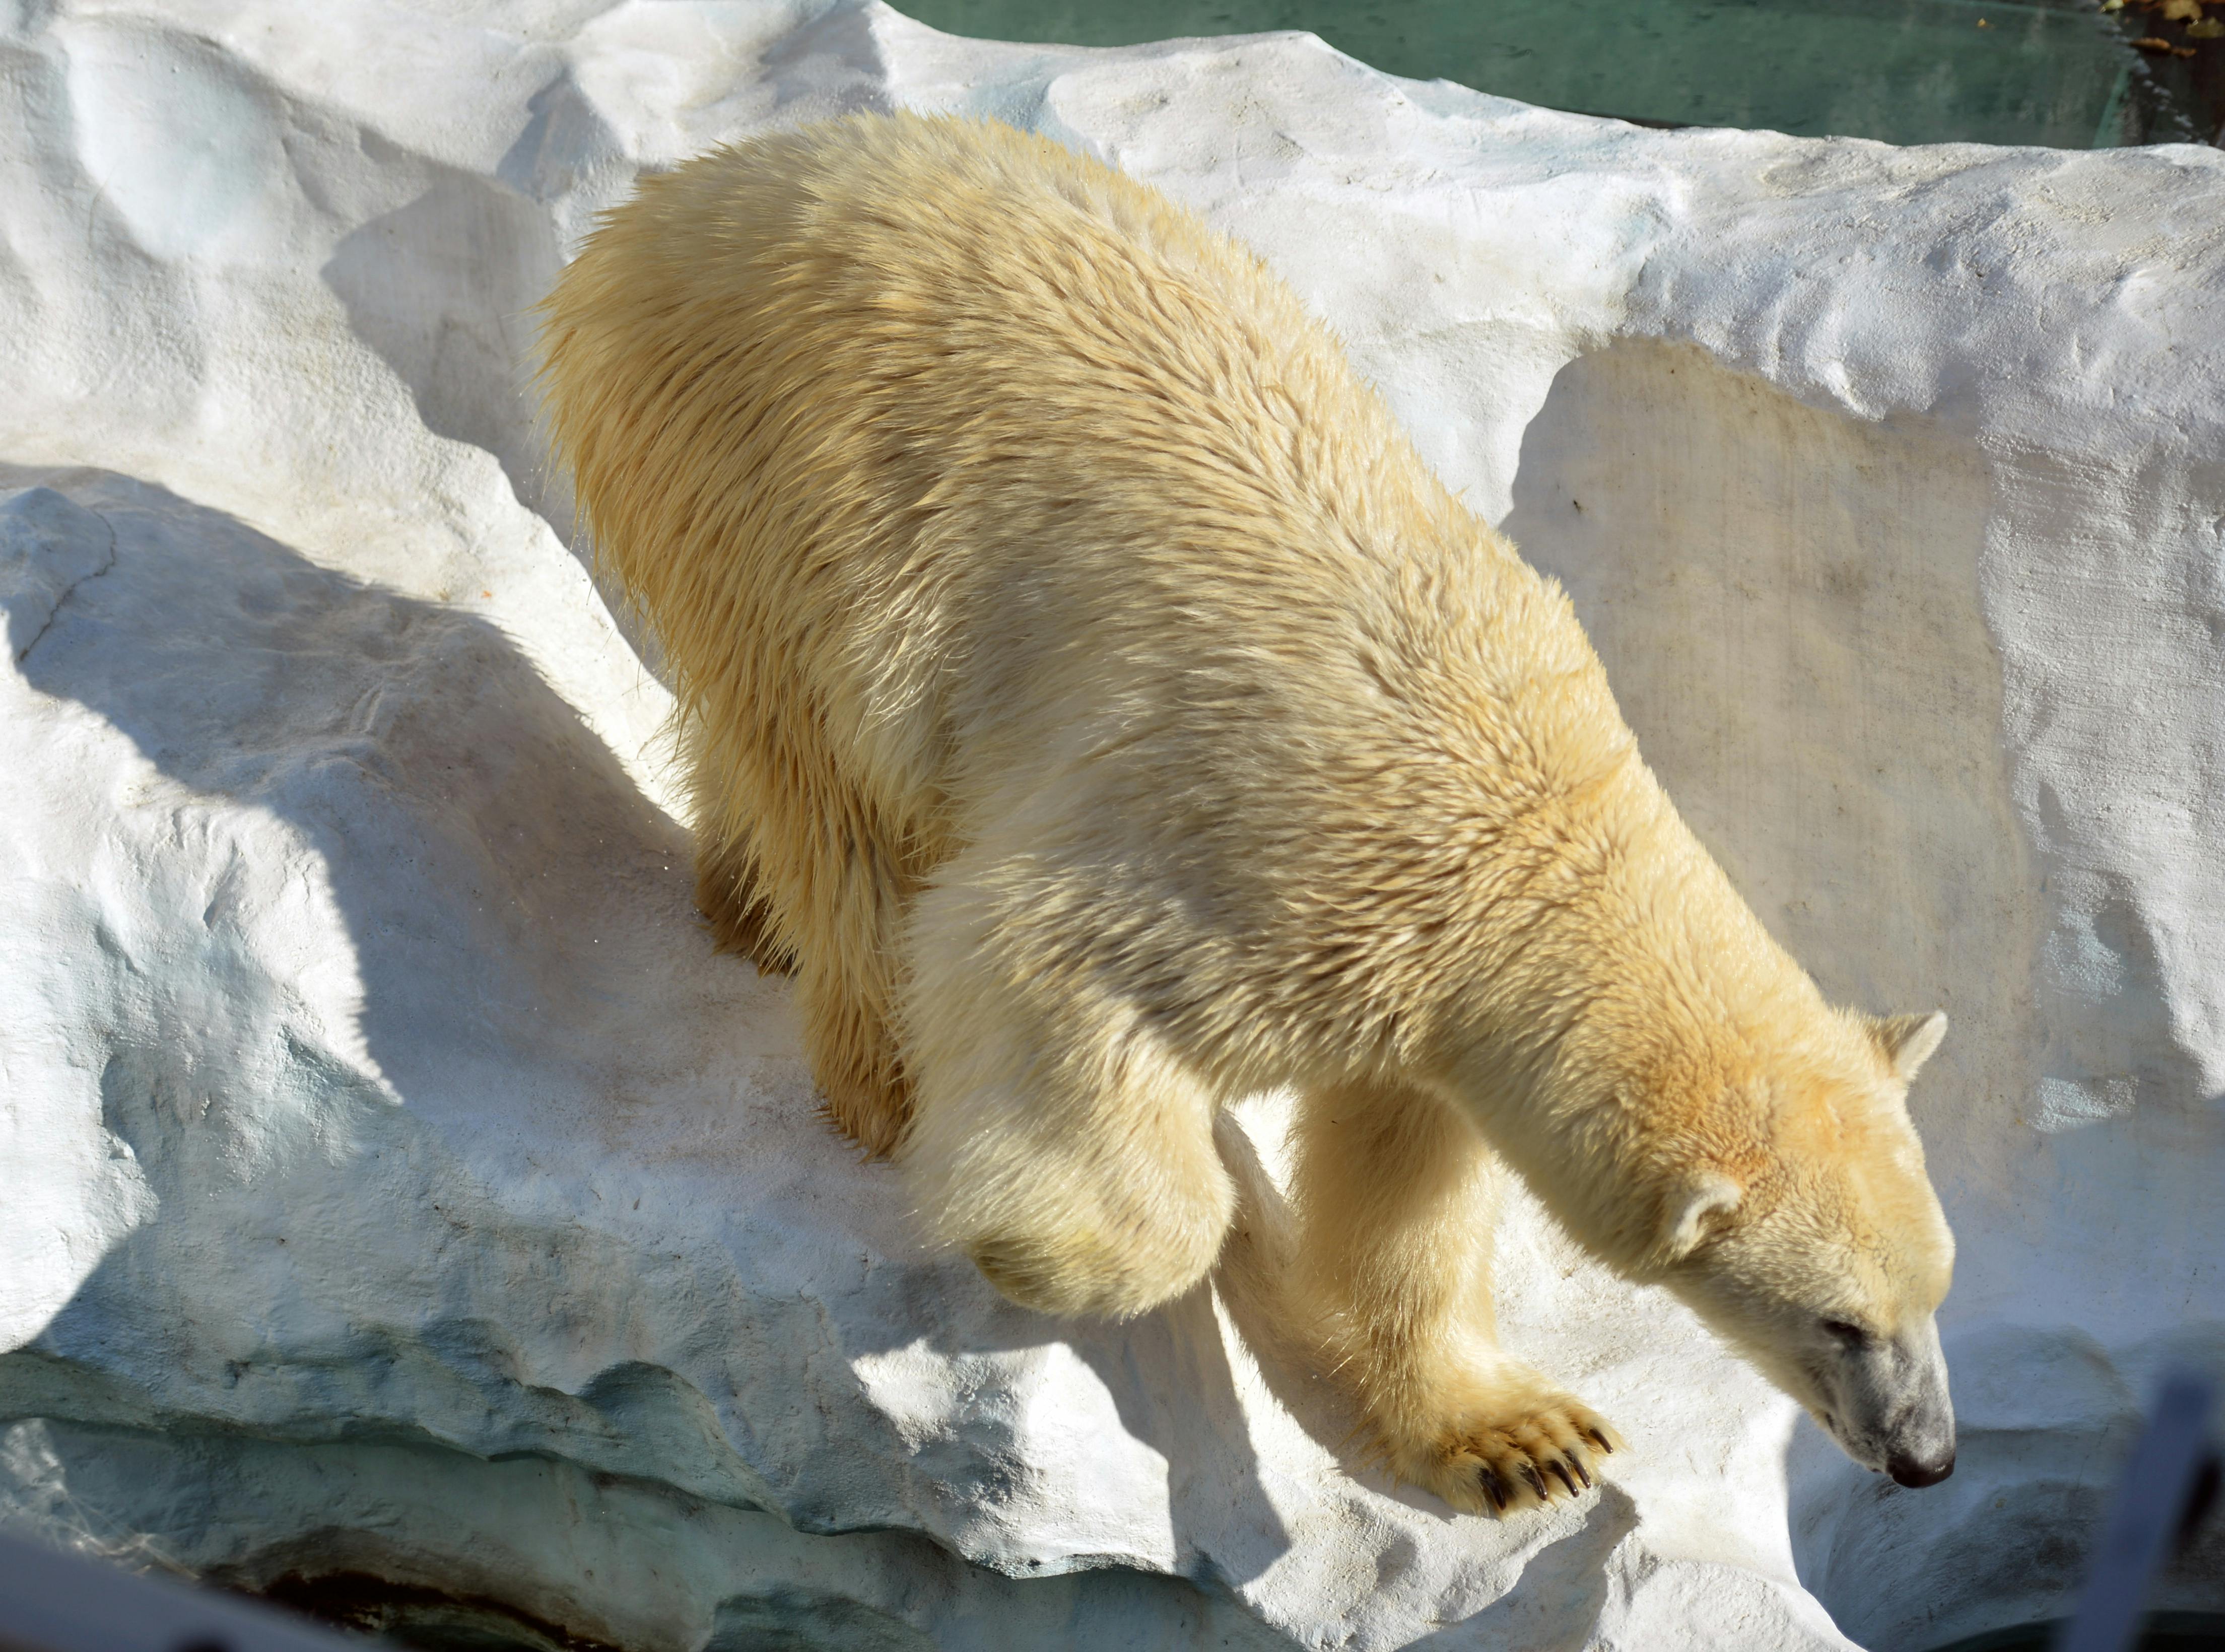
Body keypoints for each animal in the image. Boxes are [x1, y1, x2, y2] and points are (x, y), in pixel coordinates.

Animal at [543, 110, 1967, 1521]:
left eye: (1938, 1286)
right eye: (1838, 1318)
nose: (1928, 1454)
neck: (1519, 828)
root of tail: (660, 210)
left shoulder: (1423, 995)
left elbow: (1405, 1192)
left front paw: (1521, 1436)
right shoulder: (1267, 861)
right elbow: (1033, 960)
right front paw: (1051, 1244)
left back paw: (742, 902)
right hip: (778, 487)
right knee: (839, 800)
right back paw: (881, 1074)